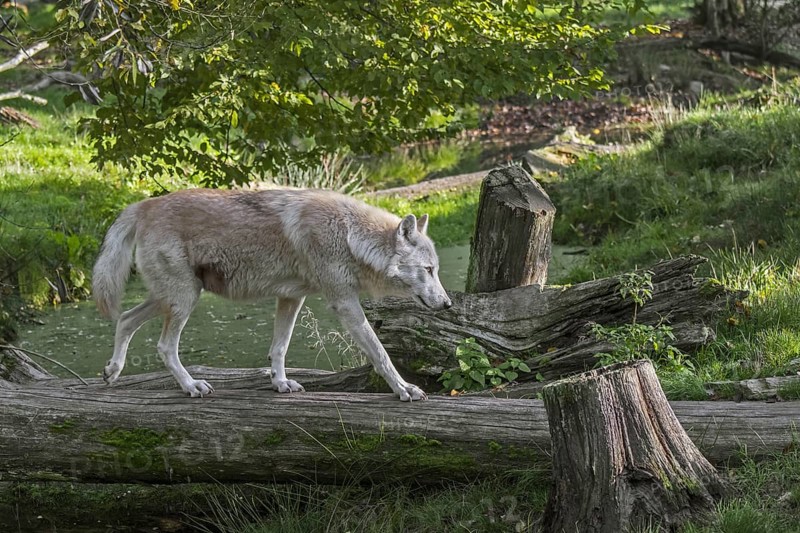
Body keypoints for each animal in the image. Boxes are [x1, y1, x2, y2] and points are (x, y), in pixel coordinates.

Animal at [92, 188, 452, 401]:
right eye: (429, 270)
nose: (448, 304)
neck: (351, 236)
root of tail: (143, 205)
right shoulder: (344, 302)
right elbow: (380, 353)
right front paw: (405, 389)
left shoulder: (292, 298)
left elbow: (279, 348)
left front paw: (280, 384)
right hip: (184, 299)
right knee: (165, 347)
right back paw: (191, 386)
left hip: (175, 296)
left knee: (125, 319)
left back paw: (112, 371)